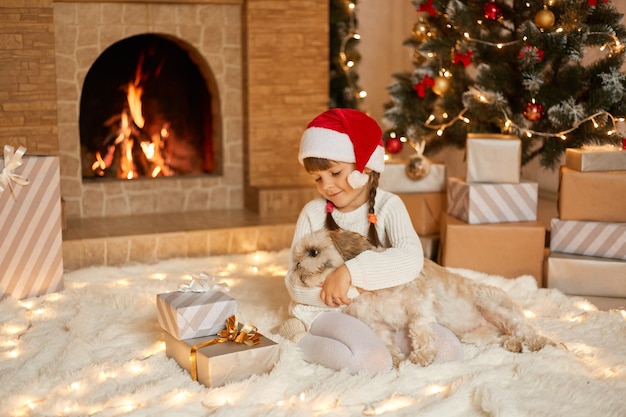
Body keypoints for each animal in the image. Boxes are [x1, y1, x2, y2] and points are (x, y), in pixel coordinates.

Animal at [290, 229, 552, 366]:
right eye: (296, 258)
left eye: (313, 252)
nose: (297, 266)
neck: (366, 290)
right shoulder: (377, 325)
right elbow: (386, 343)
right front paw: (396, 360)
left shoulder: (420, 302)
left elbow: (418, 327)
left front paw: (423, 355)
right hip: (477, 336)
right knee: (503, 336)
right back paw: (512, 344)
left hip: (491, 304)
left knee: (523, 327)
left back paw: (536, 342)